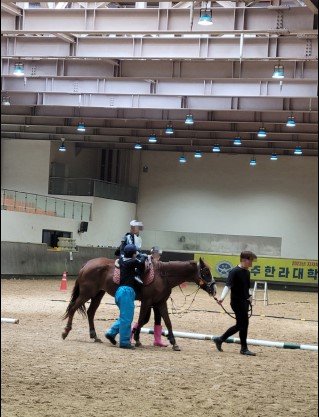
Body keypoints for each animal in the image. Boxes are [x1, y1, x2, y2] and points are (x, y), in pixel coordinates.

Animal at [62, 256, 218, 348]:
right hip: (86, 293)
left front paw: (174, 343)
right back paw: (66, 332)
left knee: (90, 312)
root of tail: (87, 264)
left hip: (98, 294)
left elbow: (167, 322)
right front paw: (136, 339)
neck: (163, 275)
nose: (214, 289)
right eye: (206, 272)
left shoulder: (160, 302)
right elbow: (142, 319)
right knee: (73, 308)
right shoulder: (147, 301)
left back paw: (95, 336)